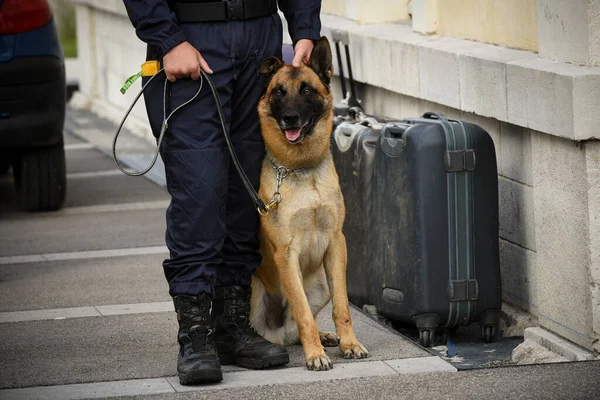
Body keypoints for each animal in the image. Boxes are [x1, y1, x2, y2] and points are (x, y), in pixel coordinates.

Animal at [248, 37, 370, 372]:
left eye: (306, 90)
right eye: (278, 91)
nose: (290, 117)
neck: (301, 170)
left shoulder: (336, 244)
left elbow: (343, 307)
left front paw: (350, 343)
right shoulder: (286, 253)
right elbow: (303, 314)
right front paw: (314, 354)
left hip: (322, 285)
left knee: (291, 331)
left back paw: (328, 337)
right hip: (253, 288)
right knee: (281, 330)